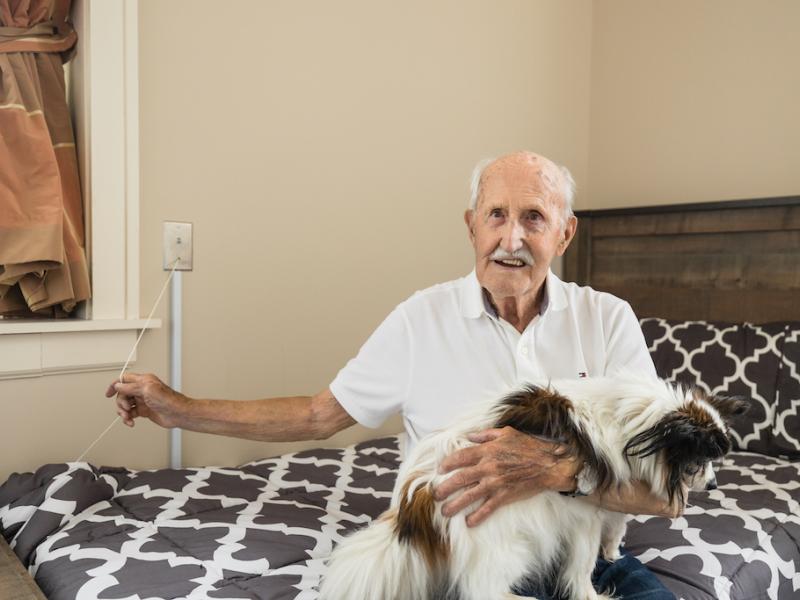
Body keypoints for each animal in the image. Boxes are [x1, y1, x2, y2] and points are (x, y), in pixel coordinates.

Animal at [318, 376, 744, 600]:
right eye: (701, 459)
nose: (714, 483)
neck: (635, 421)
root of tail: (414, 502)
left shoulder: (609, 504)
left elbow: (615, 529)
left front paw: (612, 552)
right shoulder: (584, 517)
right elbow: (581, 566)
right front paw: (593, 593)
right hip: (510, 545)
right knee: (483, 591)